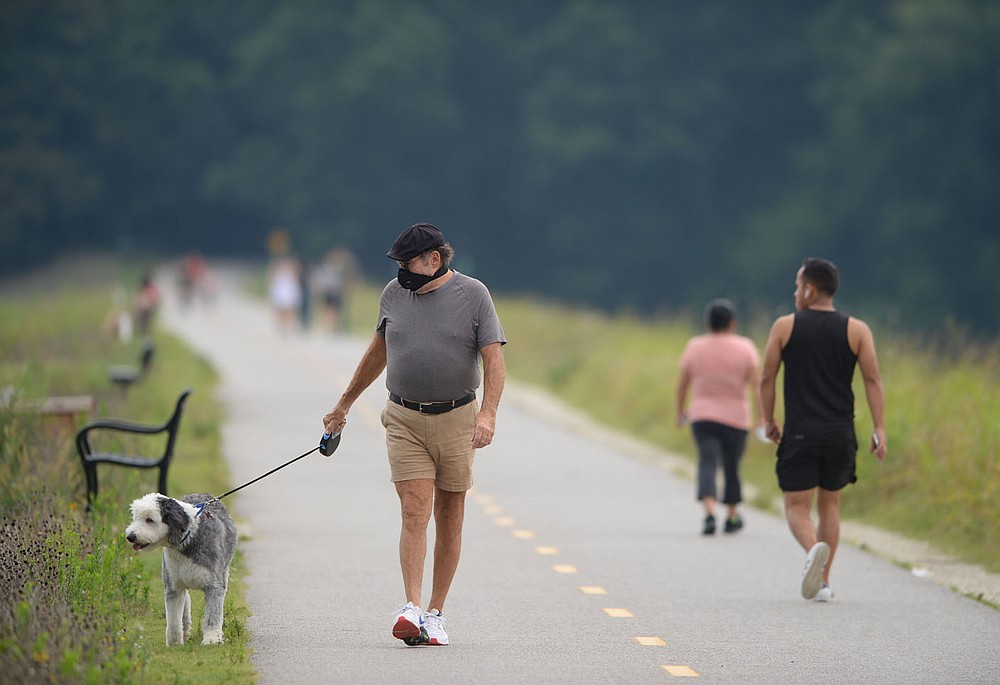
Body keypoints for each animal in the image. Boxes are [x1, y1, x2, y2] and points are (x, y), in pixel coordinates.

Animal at [125, 492, 238, 640]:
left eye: (149, 519)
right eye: (135, 517)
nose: (130, 536)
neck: (188, 537)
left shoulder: (213, 585)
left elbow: (212, 614)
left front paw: (212, 638)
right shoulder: (173, 585)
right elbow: (173, 620)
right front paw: (174, 642)